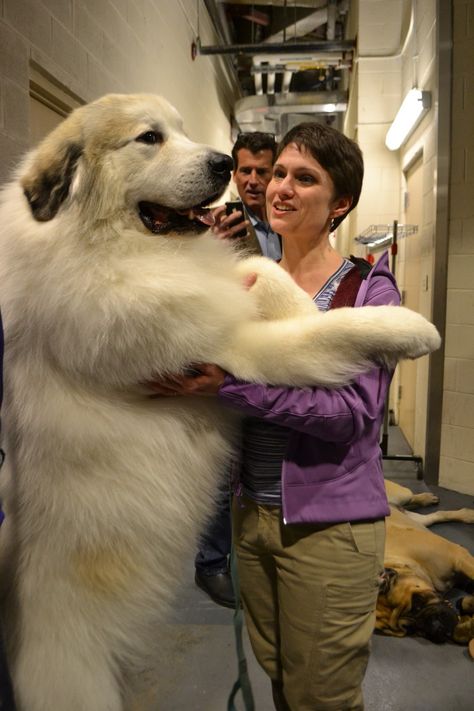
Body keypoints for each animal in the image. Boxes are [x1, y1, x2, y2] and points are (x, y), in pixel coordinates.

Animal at [0, 96, 440, 711]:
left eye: (182, 130)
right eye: (149, 138)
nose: (223, 164)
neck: (112, 251)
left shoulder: (222, 283)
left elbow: (265, 272)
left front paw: (310, 296)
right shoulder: (233, 345)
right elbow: (325, 332)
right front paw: (408, 326)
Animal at [378, 482, 474, 648]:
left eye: (416, 604)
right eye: (410, 629)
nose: (435, 629)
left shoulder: (460, 557)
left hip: (403, 493)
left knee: (412, 500)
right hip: (414, 518)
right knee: (434, 516)